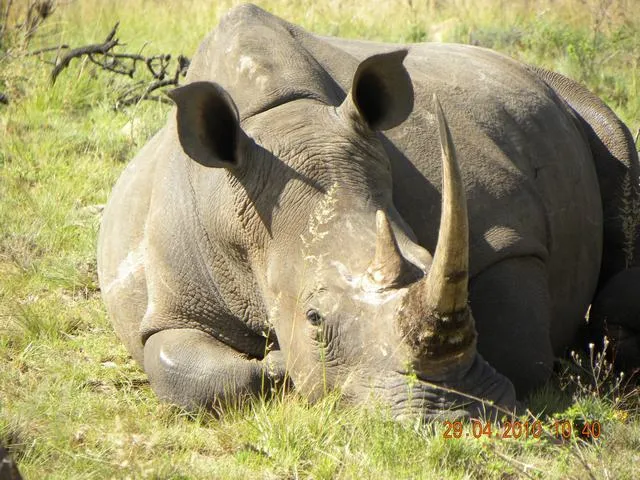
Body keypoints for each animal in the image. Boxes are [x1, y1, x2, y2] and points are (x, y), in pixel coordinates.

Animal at [97, 4, 640, 419]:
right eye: (314, 317)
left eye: (428, 256)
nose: (452, 415)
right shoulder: (176, 301)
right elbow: (184, 371)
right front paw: (283, 365)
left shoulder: (506, 238)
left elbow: (523, 352)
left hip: (573, 97)